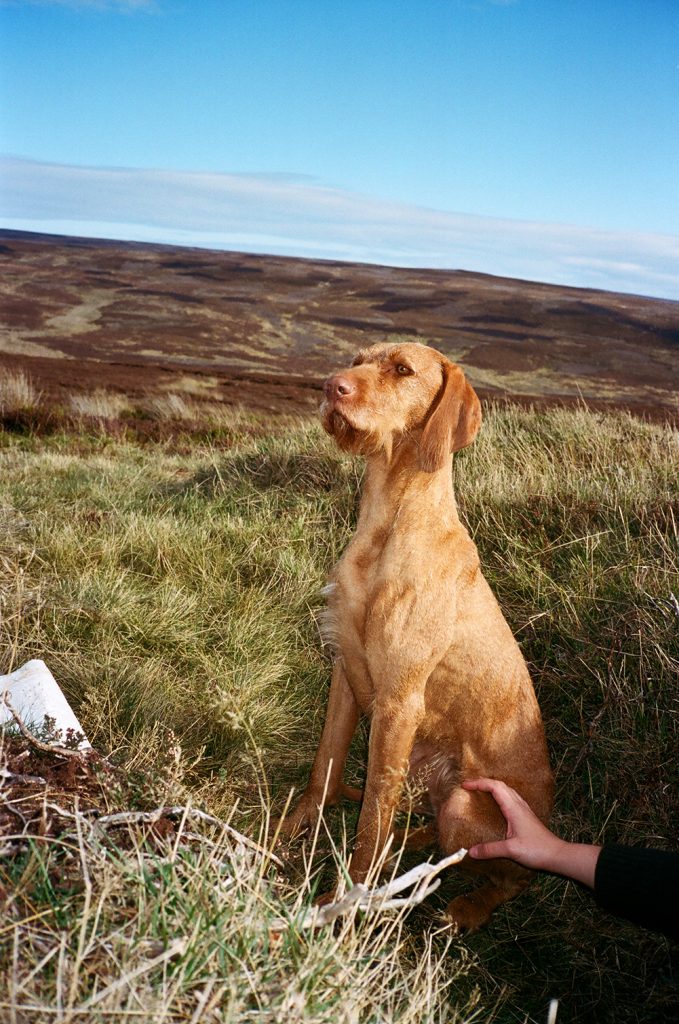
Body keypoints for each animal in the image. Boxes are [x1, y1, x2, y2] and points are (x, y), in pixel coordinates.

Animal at [280, 339, 553, 933]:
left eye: (402, 369)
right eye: (357, 360)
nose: (330, 386)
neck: (388, 522)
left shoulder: (399, 701)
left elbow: (372, 814)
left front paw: (349, 900)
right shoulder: (345, 670)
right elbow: (325, 764)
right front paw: (291, 826)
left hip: (468, 807)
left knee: (515, 875)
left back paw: (469, 904)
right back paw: (414, 843)